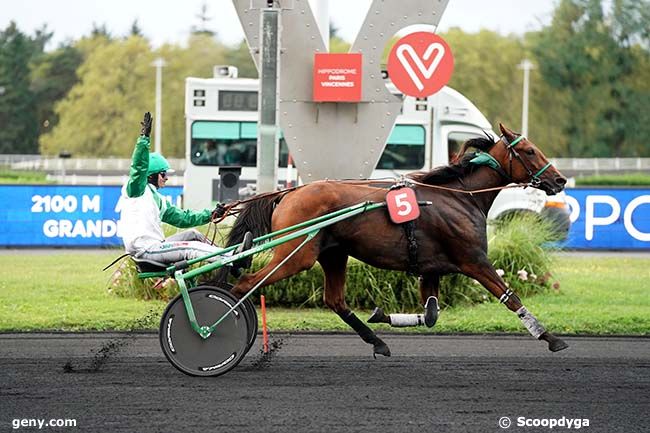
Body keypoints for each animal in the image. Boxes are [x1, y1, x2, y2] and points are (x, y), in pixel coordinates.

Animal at [224, 123, 568, 356]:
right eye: (529, 151)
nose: (560, 180)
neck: (460, 197)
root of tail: (288, 194)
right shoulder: (474, 261)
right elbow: (511, 298)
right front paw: (550, 338)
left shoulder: (431, 270)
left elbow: (430, 315)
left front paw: (381, 315)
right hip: (296, 255)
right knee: (245, 284)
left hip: (333, 254)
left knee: (335, 300)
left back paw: (378, 342)